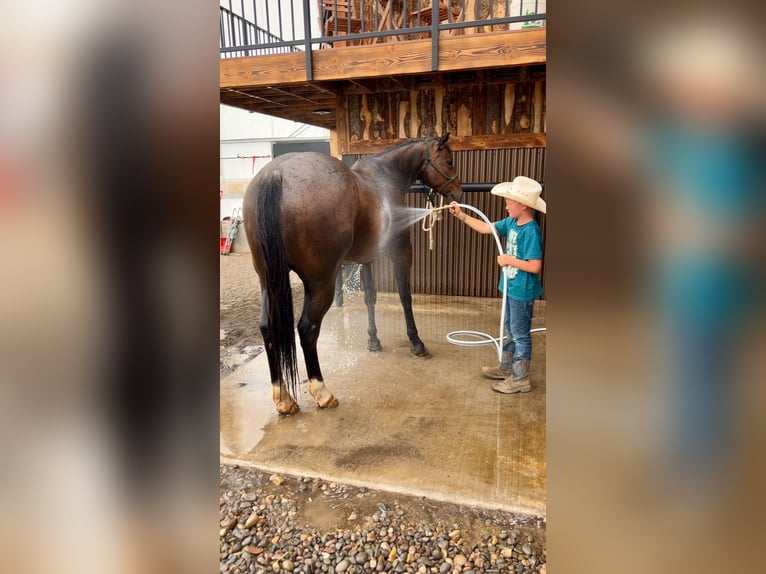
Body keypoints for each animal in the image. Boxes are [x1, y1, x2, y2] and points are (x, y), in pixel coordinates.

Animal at [243, 133, 462, 414]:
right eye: (449, 161)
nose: (458, 192)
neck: (384, 177)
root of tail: (277, 173)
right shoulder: (401, 251)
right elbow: (405, 297)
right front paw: (416, 343)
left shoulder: (366, 259)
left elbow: (370, 298)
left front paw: (373, 341)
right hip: (320, 284)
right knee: (307, 328)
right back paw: (323, 393)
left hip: (267, 282)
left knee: (267, 327)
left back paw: (283, 398)